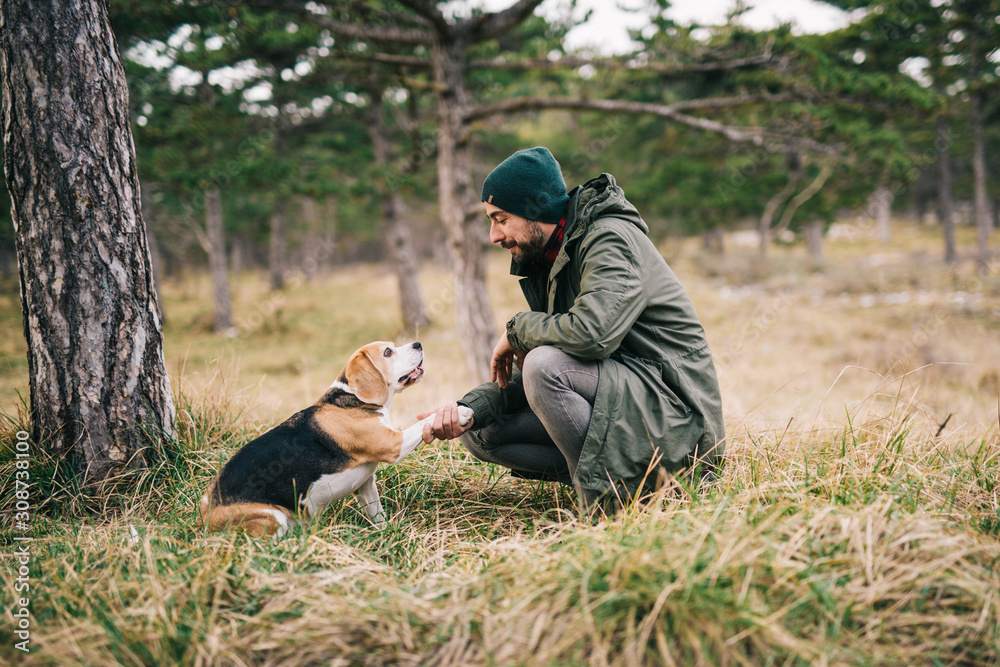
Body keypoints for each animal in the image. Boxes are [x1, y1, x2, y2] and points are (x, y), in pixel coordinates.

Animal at [201, 342, 474, 540]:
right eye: (388, 351)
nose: (417, 343)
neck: (355, 400)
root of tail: (203, 516)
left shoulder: (365, 484)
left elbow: (378, 515)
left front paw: (386, 535)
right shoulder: (393, 444)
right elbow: (423, 422)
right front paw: (460, 412)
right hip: (271, 517)